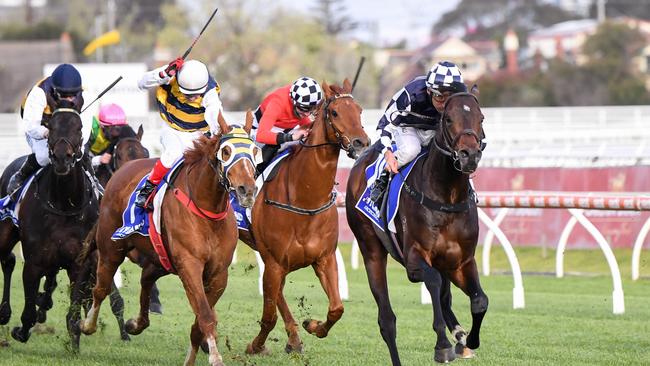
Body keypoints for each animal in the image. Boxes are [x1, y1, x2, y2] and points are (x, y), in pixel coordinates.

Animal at [83, 114, 258, 366]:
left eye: (255, 150)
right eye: (226, 151)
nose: (248, 190)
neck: (208, 209)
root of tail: (122, 171)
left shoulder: (218, 273)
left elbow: (200, 320)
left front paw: (194, 357)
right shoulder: (189, 265)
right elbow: (205, 315)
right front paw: (216, 358)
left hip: (160, 259)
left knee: (146, 279)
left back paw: (136, 323)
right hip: (111, 249)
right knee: (101, 287)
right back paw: (88, 325)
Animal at [239, 79, 370, 354]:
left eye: (360, 110)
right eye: (334, 112)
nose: (361, 143)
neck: (305, 200)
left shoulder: (324, 258)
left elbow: (337, 308)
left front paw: (312, 325)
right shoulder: (275, 262)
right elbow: (268, 317)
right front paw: (255, 345)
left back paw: (294, 338)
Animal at [344, 89, 486, 366]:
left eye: (481, 117)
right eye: (449, 119)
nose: (469, 155)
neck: (446, 196)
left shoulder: (461, 261)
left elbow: (479, 300)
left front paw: (470, 339)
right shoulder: (413, 259)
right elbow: (432, 282)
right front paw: (442, 345)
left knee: (445, 297)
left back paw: (460, 337)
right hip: (371, 249)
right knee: (387, 320)